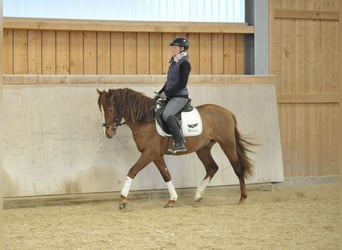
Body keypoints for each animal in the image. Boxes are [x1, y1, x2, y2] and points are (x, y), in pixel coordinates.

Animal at [96, 88, 254, 209]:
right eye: (101, 110)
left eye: (110, 108)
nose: (107, 133)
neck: (145, 120)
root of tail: (228, 112)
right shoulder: (157, 156)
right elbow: (167, 175)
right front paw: (172, 200)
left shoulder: (149, 153)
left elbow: (132, 171)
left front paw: (122, 200)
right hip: (203, 149)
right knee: (212, 168)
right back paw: (198, 195)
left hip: (227, 144)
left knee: (237, 168)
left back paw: (243, 198)